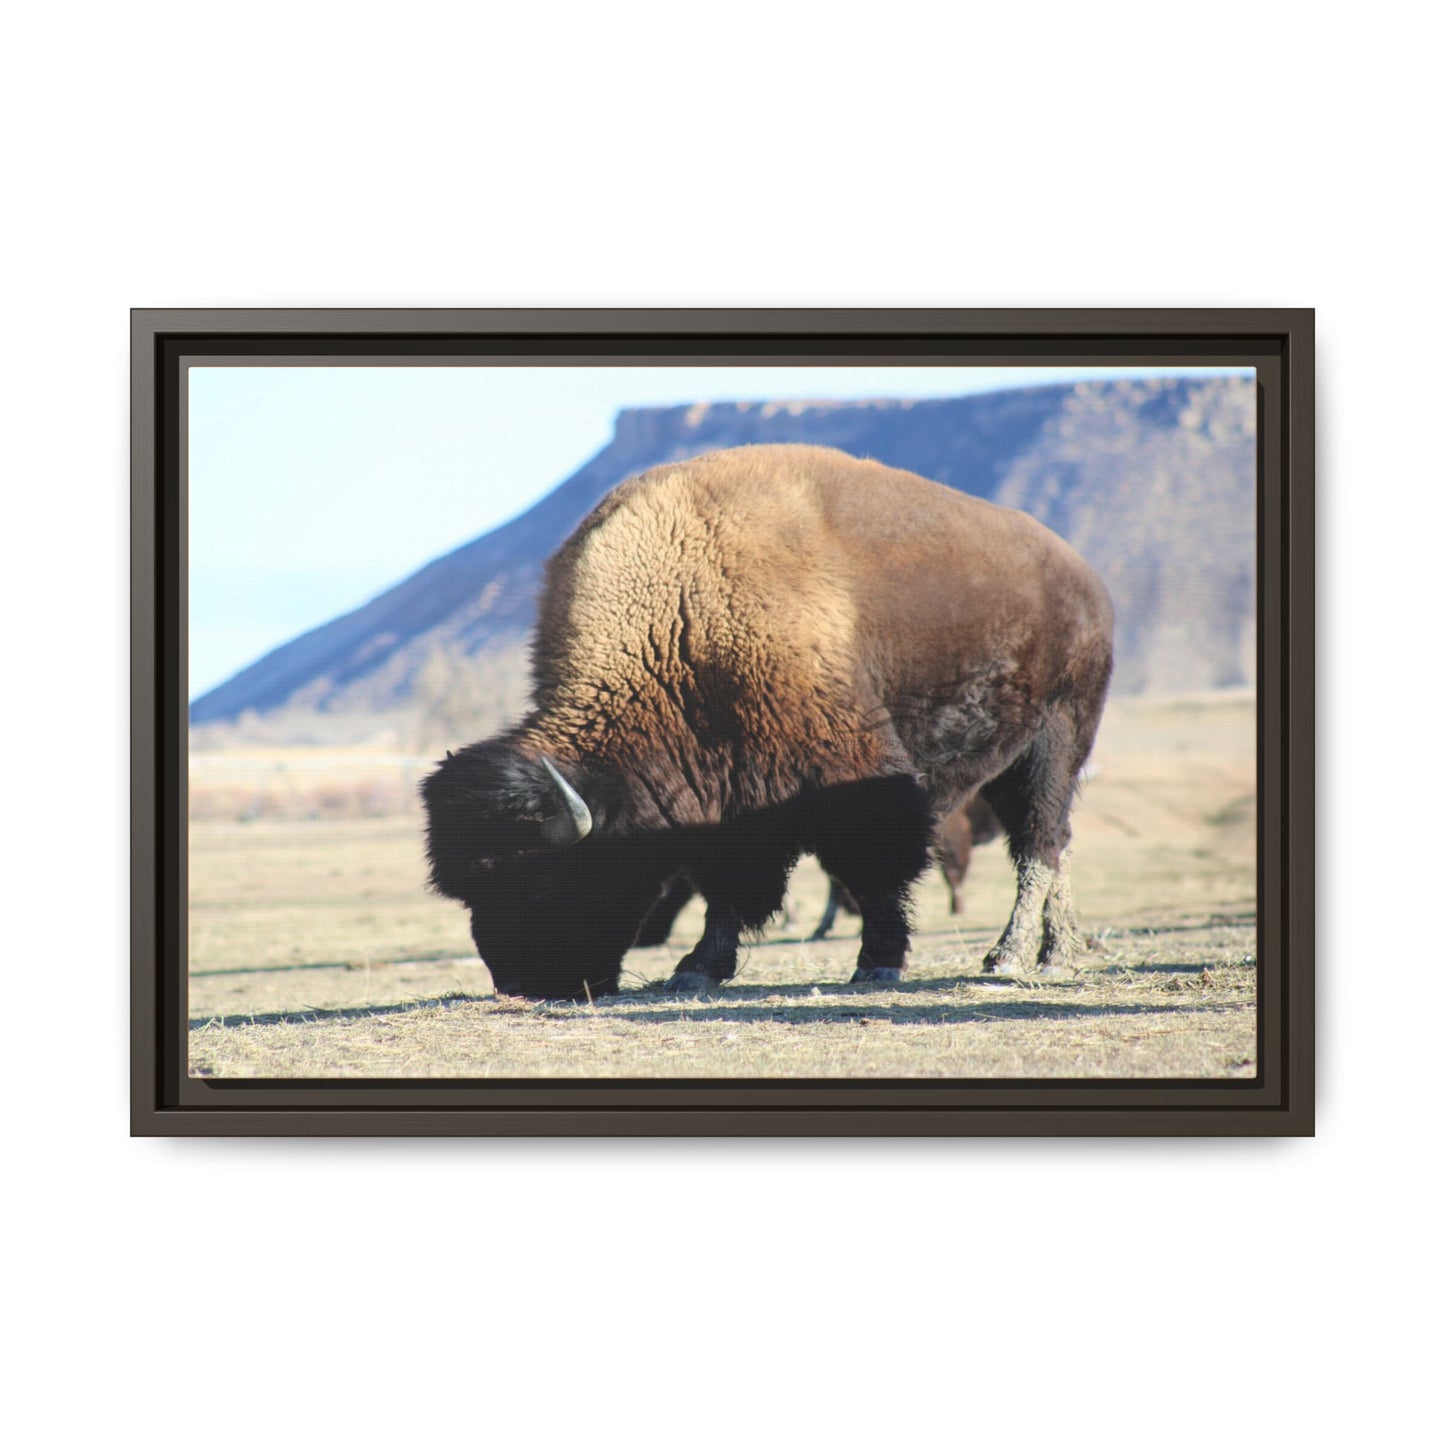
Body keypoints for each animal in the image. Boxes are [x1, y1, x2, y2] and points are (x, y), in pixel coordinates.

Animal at [422, 443, 1113, 1000]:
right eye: (470, 891)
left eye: (540, 880)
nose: (522, 984)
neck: (680, 618)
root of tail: (1084, 578)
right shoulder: (725, 798)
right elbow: (728, 885)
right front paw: (696, 969)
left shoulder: (851, 775)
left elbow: (874, 868)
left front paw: (878, 963)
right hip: (1011, 760)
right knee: (1052, 843)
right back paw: (1056, 951)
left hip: (1057, 740)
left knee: (1040, 842)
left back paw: (1016, 957)